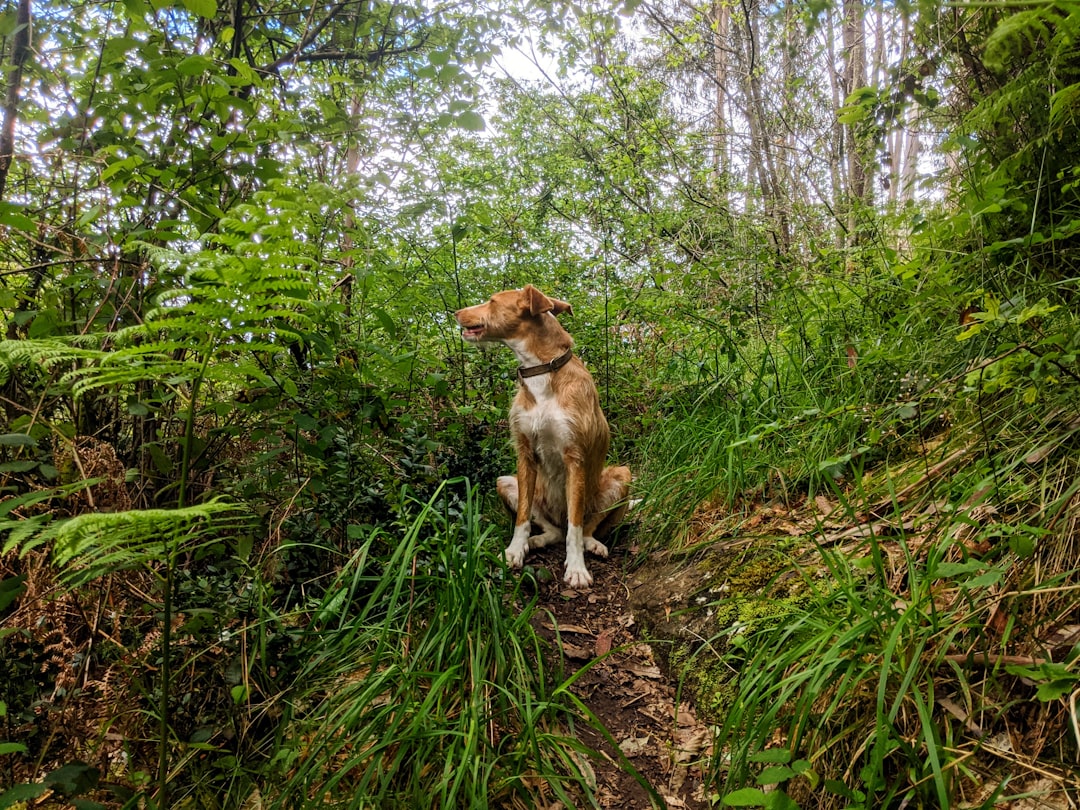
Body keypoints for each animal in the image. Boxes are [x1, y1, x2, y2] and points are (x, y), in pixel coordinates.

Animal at [457, 285, 630, 591]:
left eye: (491, 301)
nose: (456, 313)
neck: (543, 370)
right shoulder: (525, 453)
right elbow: (523, 517)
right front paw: (515, 550)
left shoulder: (575, 458)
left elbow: (575, 527)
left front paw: (576, 568)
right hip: (506, 482)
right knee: (554, 530)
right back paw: (537, 540)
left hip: (622, 477)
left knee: (584, 527)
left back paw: (592, 545)